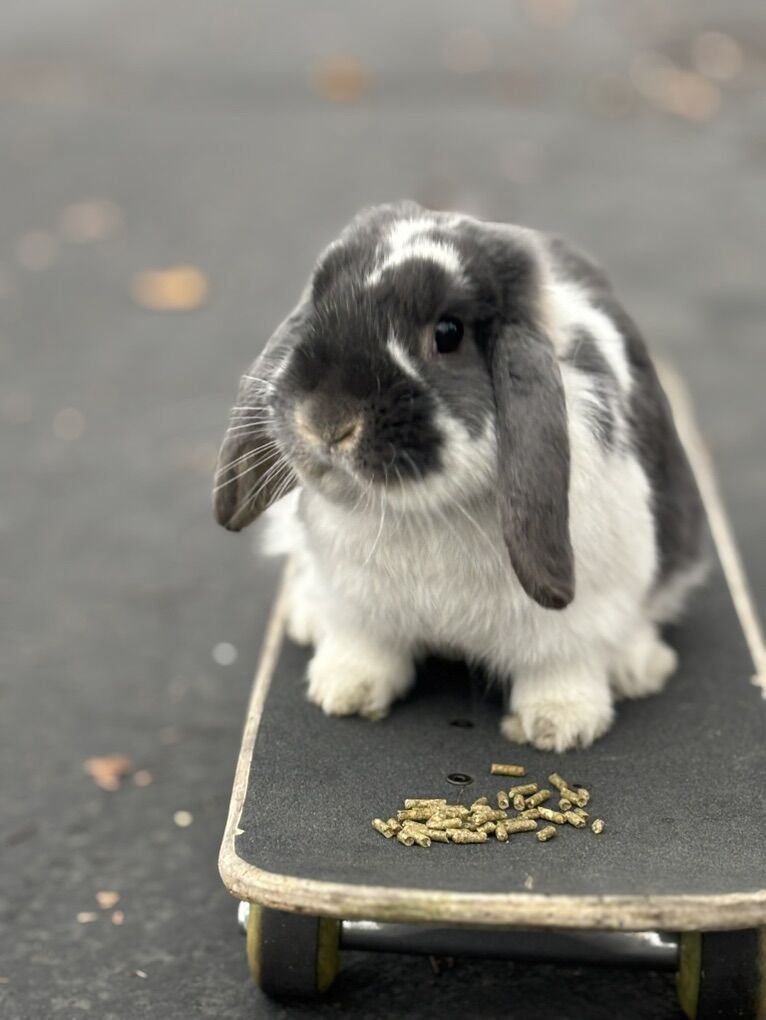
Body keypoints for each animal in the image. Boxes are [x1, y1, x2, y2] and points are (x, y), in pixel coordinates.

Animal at [213, 201, 705, 752]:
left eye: (448, 334)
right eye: (318, 305)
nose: (325, 421)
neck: (426, 509)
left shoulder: (577, 619)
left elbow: (563, 664)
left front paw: (559, 724)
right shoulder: (358, 607)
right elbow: (364, 648)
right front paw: (344, 691)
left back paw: (638, 668)